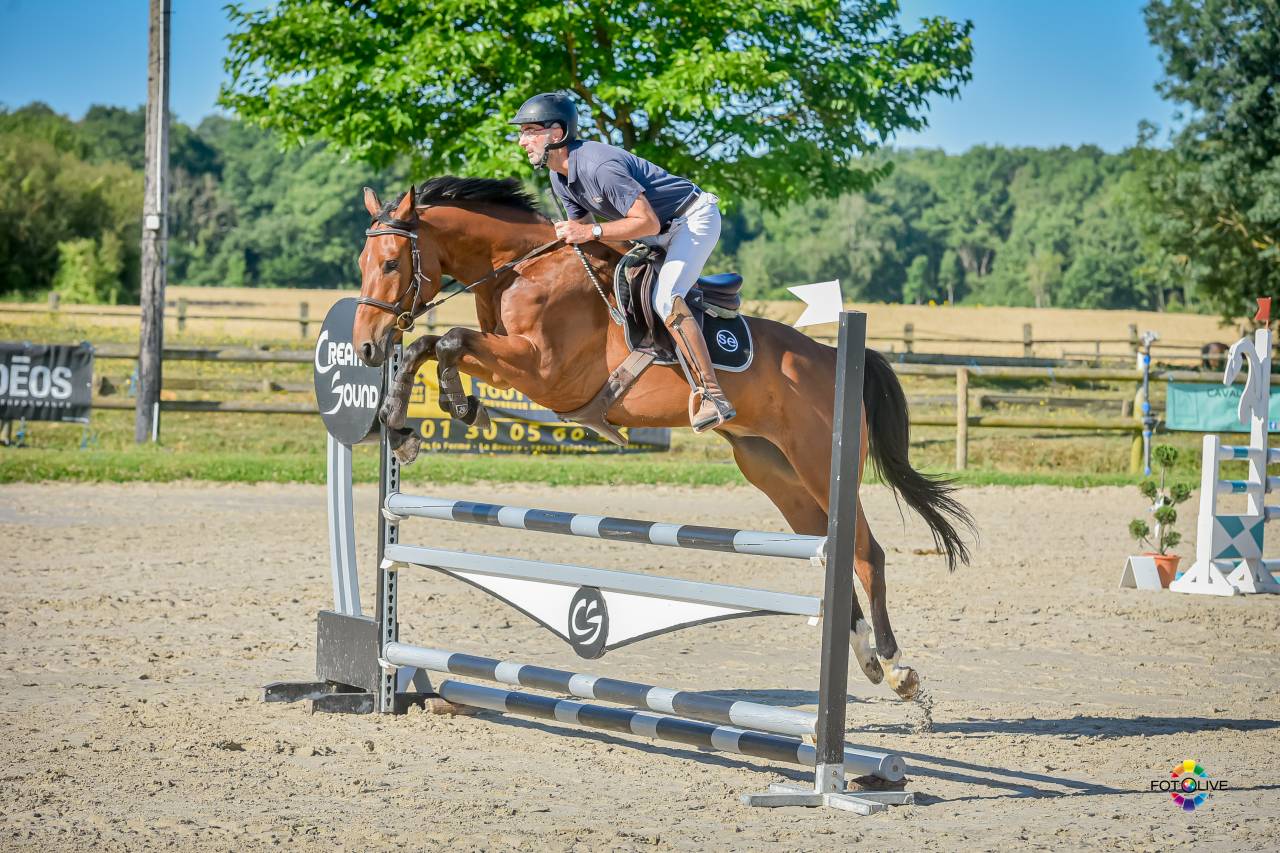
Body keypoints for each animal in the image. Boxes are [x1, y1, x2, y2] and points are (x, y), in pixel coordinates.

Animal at [352, 177, 974, 701]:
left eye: (391, 262)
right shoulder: (515, 364)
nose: (365, 347)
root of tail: (831, 357)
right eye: (361, 264)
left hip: (820, 462)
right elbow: (430, 344)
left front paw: (451, 407)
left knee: (867, 551)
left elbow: (448, 339)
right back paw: (867, 658)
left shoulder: (544, 373)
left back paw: (896, 665)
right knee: (828, 550)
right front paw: (404, 425)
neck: (520, 271)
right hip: (776, 473)